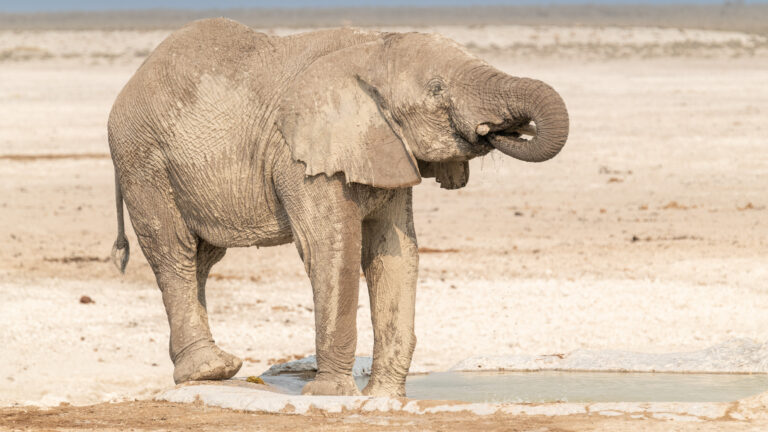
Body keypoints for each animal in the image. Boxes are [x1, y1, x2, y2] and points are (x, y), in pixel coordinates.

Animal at [108, 18, 568, 397]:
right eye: (437, 88)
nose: (503, 128)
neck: (375, 45)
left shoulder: (384, 147)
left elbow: (394, 252)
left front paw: (384, 399)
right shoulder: (301, 159)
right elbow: (331, 251)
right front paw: (331, 395)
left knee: (203, 258)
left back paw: (205, 371)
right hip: (143, 161)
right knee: (175, 252)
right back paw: (209, 371)